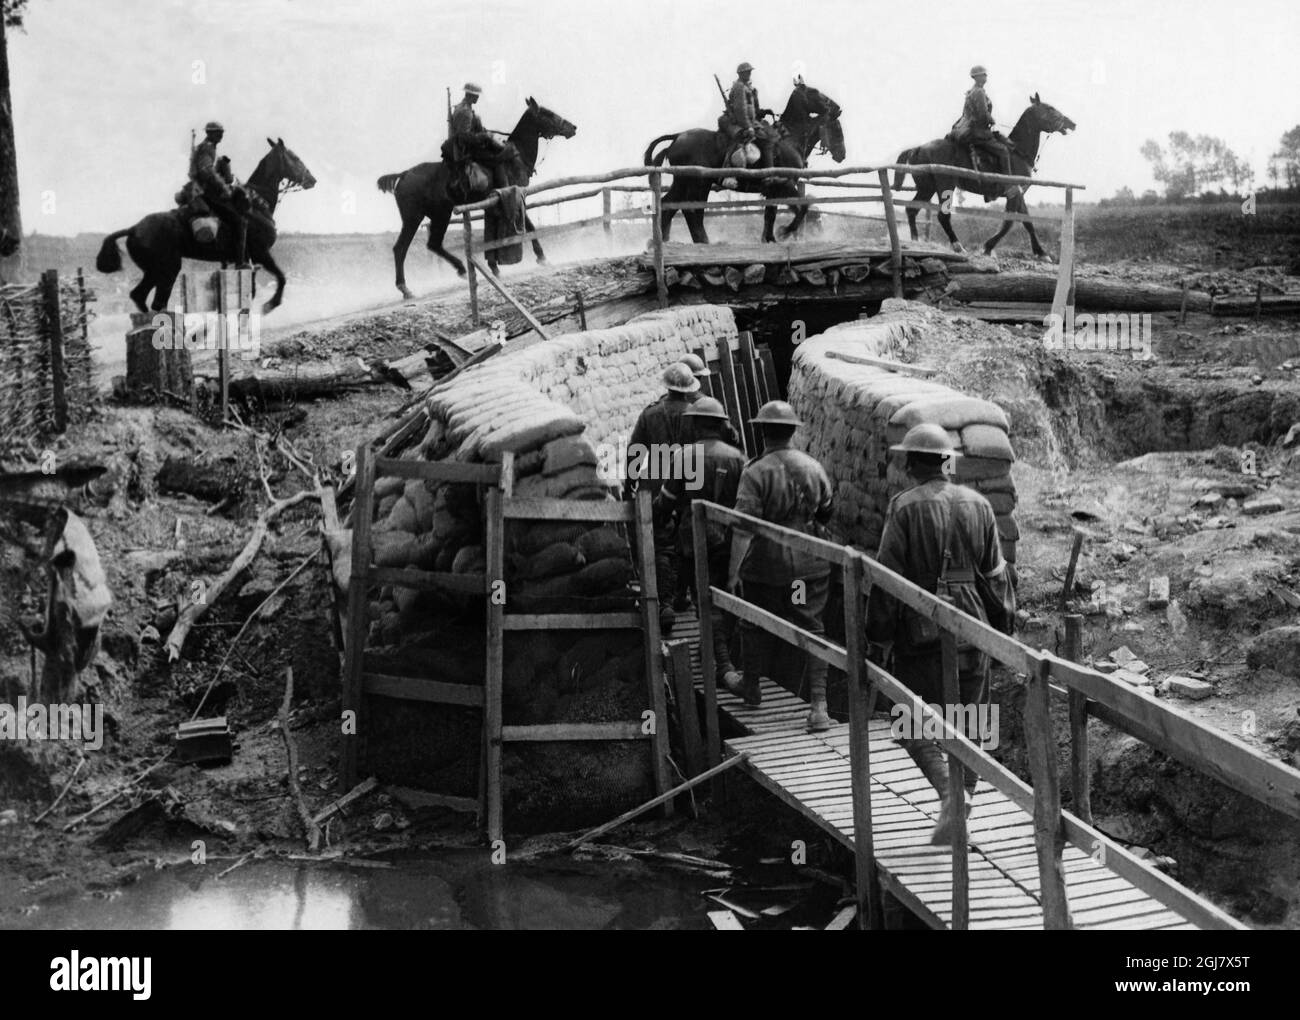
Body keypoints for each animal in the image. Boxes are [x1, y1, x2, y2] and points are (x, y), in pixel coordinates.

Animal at [95, 138, 314, 314]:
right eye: (294, 157)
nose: (312, 180)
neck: (256, 204)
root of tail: (133, 228)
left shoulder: (250, 261)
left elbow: (251, 288)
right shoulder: (261, 253)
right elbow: (281, 277)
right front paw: (270, 305)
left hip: (154, 271)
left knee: (139, 297)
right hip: (167, 268)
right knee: (156, 302)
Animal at [379, 97, 577, 296]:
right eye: (548, 113)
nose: (573, 127)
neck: (516, 158)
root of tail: (403, 175)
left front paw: (494, 267)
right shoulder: (518, 195)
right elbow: (530, 227)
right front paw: (542, 257)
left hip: (439, 215)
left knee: (433, 244)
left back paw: (460, 269)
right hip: (416, 218)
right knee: (401, 248)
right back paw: (405, 288)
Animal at [642, 80, 847, 244]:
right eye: (814, 91)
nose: (837, 108)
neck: (790, 139)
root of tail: (677, 137)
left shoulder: (775, 190)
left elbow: (772, 213)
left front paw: (769, 238)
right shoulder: (783, 185)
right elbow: (800, 208)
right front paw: (783, 232)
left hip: (683, 182)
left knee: (669, 206)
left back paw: (663, 240)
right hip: (698, 184)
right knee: (692, 211)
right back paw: (702, 241)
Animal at [894, 94, 1076, 258]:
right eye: (1049, 108)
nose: (1071, 123)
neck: (1017, 151)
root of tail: (918, 148)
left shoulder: (1019, 193)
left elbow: (1027, 221)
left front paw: (1041, 252)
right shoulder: (1014, 194)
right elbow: (1008, 222)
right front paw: (988, 247)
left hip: (927, 187)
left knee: (911, 210)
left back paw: (915, 241)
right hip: (945, 186)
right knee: (942, 216)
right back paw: (958, 246)